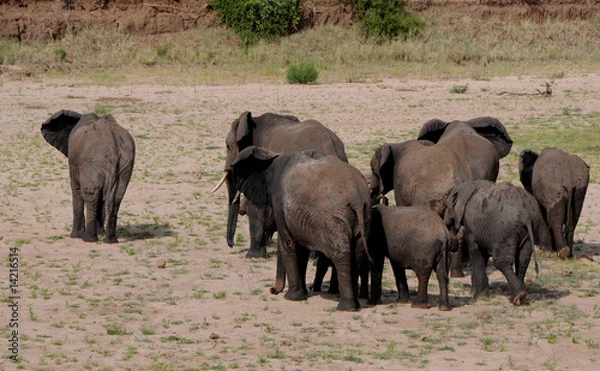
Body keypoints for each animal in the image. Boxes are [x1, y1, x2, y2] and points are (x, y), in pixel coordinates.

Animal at [41, 109, 136, 244]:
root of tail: (112, 140)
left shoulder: (75, 161)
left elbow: (76, 191)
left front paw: (75, 236)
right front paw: (100, 233)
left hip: (92, 161)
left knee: (91, 195)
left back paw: (88, 239)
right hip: (125, 162)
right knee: (116, 197)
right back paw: (109, 240)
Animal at [230, 147, 370, 312]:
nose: (272, 290)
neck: (271, 159)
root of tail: (357, 198)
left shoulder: (280, 201)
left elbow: (288, 243)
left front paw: (292, 297)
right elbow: (302, 249)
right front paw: (302, 294)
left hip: (333, 217)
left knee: (341, 254)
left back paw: (346, 307)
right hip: (364, 216)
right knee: (357, 253)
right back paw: (356, 305)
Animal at [368, 117, 512, 278]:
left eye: (372, 169)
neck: (396, 146)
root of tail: (458, 178)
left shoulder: (399, 181)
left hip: (433, 195)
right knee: (458, 231)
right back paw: (456, 273)